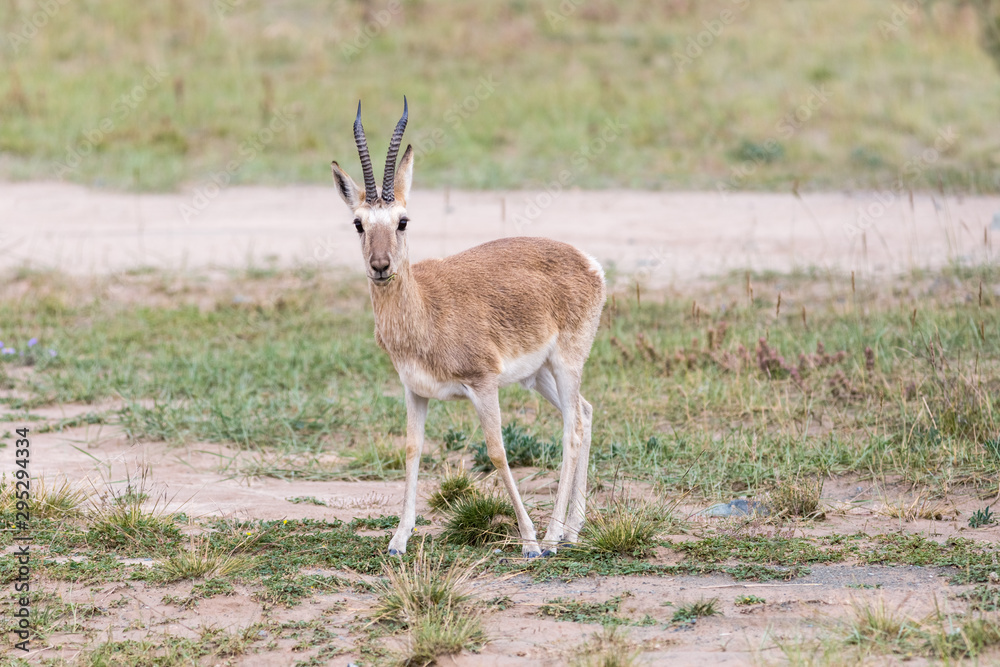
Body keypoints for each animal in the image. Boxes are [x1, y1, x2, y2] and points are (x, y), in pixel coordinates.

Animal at [330, 98, 606, 558]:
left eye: (403, 220)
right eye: (358, 223)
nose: (381, 266)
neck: (425, 311)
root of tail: (588, 262)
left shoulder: (483, 383)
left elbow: (497, 451)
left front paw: (528, 541)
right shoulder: (415, 390)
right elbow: (412, 449)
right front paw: (398, 540)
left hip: (566, 364)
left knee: (572, 429)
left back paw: (551, 538)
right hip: (538, 375)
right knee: (584, 412)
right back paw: (572, 531)